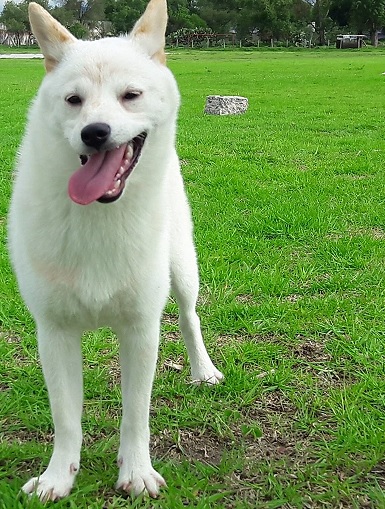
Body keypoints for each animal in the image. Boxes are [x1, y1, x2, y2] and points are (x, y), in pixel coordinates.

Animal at [9, 0, 222, 500]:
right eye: (73, 100)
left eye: (131, 95)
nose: (95, 132)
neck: (99, 215)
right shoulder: (54, 333)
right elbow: (66, 419)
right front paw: (58, 477)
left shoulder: (141, 328)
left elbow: (136, 415)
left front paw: (137, 472)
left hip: (183, 270)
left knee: (190, 317)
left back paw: (203, 370)